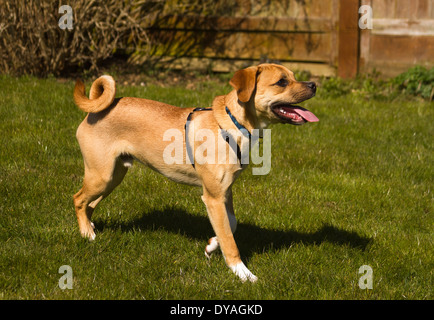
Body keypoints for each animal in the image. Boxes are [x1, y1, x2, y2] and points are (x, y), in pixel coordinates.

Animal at [73, 63, 318, 282]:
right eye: (282, 82)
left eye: (293, 76)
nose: (314, 84)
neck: (231, 124)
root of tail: (96, 110)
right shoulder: (213, 197)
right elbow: (230, 242)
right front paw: (243, 273)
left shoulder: (225, 192)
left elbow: (231, 224)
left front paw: (212, 245)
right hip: (101, 175)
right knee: (78, 199)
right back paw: (87, 235)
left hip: (114, 175)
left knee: (89, 204)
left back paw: (90, 227)